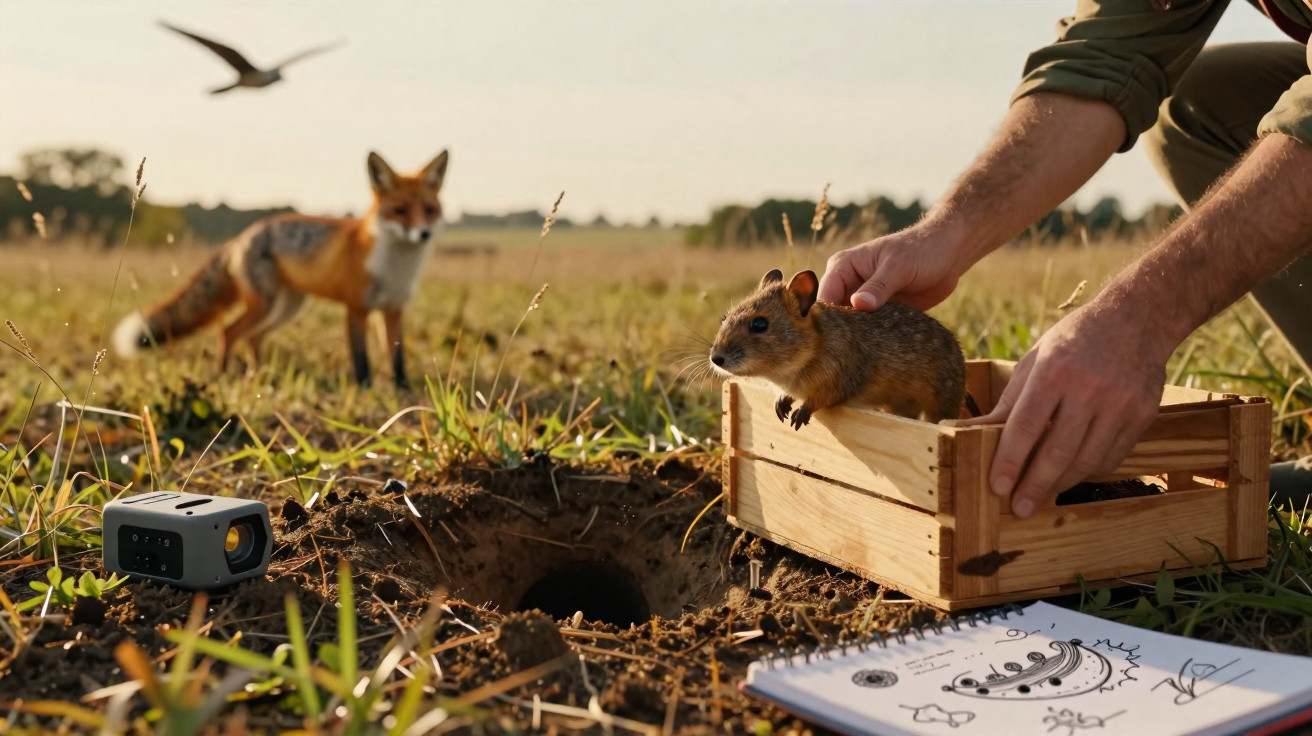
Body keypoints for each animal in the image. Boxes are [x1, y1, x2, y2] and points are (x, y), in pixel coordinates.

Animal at [112, 149, 449, 389]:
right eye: (400, 211)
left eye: (430, 210)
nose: (423, 234)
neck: (396, 265)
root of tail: (241, 236)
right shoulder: (356, 309)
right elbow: (362, 360)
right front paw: (366, 390)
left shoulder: (394, 310)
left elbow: (397, 358)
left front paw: (403, 392)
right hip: (266, 305)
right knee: (228, 332)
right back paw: (222, 376)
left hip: (286, 309)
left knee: (251, 338)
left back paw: (258, 376)